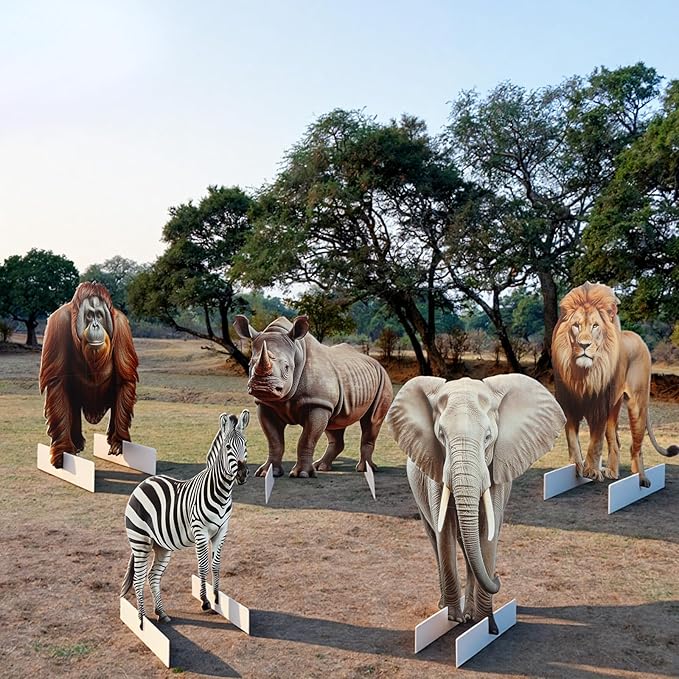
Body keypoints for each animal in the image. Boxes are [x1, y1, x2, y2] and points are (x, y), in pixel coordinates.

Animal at [121, 409, 249, 629]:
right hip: (140, 540)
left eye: (246, 444)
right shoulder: (200, 531)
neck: (222, 492)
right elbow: (203, 565)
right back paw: (141, 621)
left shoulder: (222, 530)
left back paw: (161, 613)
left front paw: (217, 599)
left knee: (152, 576)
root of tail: (145, 482)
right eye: (228, 447)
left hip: (161, 545)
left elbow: (216, 565)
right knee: (138, 578)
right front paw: (205, 602)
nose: (242, 474)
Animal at [386, 373, 565, 634]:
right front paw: (454, 618)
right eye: (441, 435)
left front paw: (485, 625)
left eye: (489, 437)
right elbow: (444, 531)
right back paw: (444, 606)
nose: (498, 577)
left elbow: (487, 533)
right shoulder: (436, 466)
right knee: (434, 536)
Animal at [552, 282, 678, 487]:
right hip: (615, 407)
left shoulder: (599, 409)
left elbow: (595, 443)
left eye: (595, 326)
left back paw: (641, 478)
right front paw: (576, 466)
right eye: (576, 326)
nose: (584, 345)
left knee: (637, 446)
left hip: (637, 405)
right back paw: (612, 471)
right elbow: (572, 440)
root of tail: (640, 339)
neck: (583, 375)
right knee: (616, 442)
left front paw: (591, 470)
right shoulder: (569, 407)